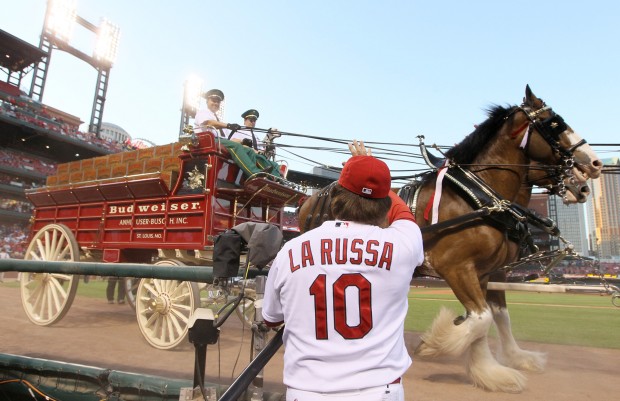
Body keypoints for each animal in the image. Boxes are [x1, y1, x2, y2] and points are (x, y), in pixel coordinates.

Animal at [298, 86, 604, 390]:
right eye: (556, 123)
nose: (594, 165)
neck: (480, 198)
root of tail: (311, 199)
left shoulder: (486, 272)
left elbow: (494, 317)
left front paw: (494, 369)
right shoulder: (456, 267)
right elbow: (481, 318)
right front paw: (435, 343)